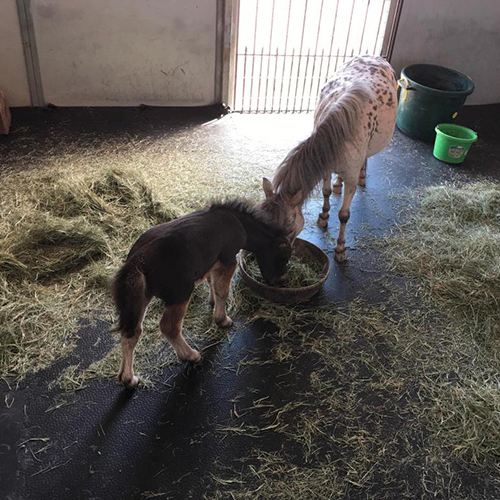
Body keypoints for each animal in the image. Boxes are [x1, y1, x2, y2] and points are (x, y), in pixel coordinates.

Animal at [258, 55, 394, 262]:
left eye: (289, 229)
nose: (279, 259)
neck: (341, 130)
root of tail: (376, 57)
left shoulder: (351, 178)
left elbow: (344, 215)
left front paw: (340, 248)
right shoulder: (326, 168)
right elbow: (326, 192)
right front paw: (323, 216)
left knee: (365, 159)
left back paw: (363, 176)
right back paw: (338, 183)